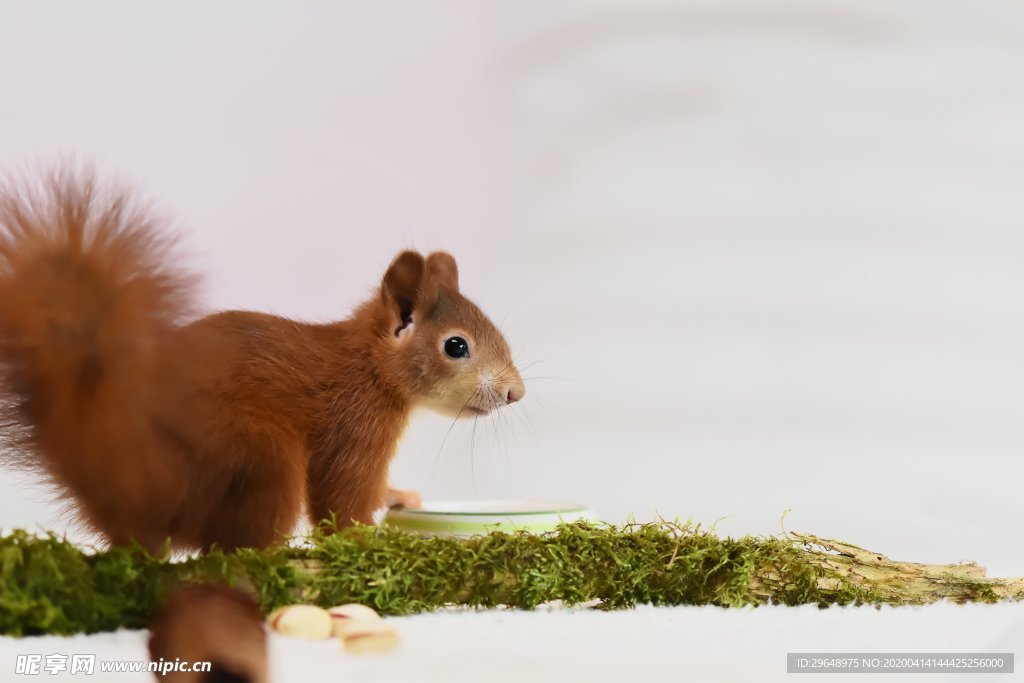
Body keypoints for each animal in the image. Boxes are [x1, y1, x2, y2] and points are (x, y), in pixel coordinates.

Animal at [0, 169, 528, 557]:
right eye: (456, 346)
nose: (515, 393)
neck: (371, 366)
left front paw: (397, 496)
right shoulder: (354, 427)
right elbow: (342, 501)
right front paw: (368, 541)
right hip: (257, 457)